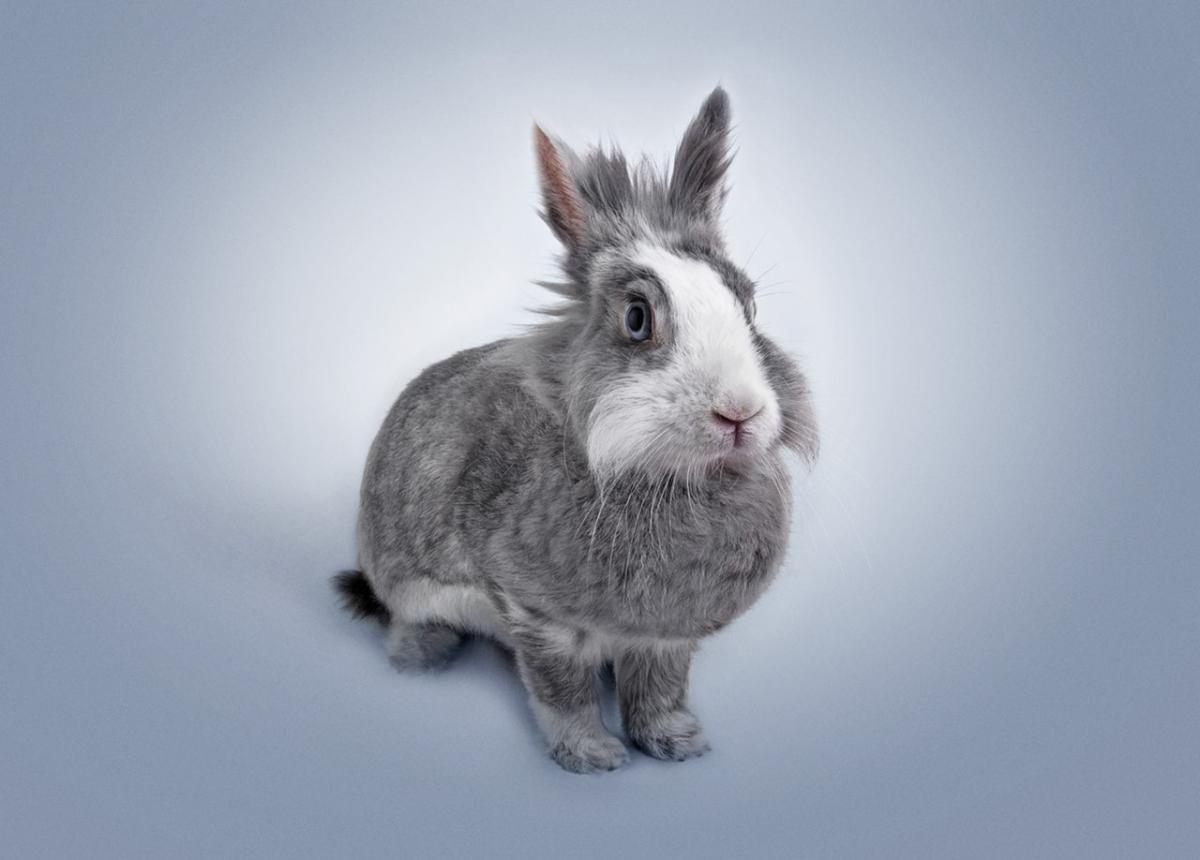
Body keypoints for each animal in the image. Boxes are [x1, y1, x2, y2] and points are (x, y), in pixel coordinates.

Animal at [334, 87, 818, 773]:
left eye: (749, 306)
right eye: (637, 318)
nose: (740, 413)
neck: (664, 477)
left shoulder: (664, 638)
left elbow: (660, 690)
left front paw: (677, 744)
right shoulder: (538, 618)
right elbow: (560, 691)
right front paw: (593, 756)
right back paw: (422, 662)